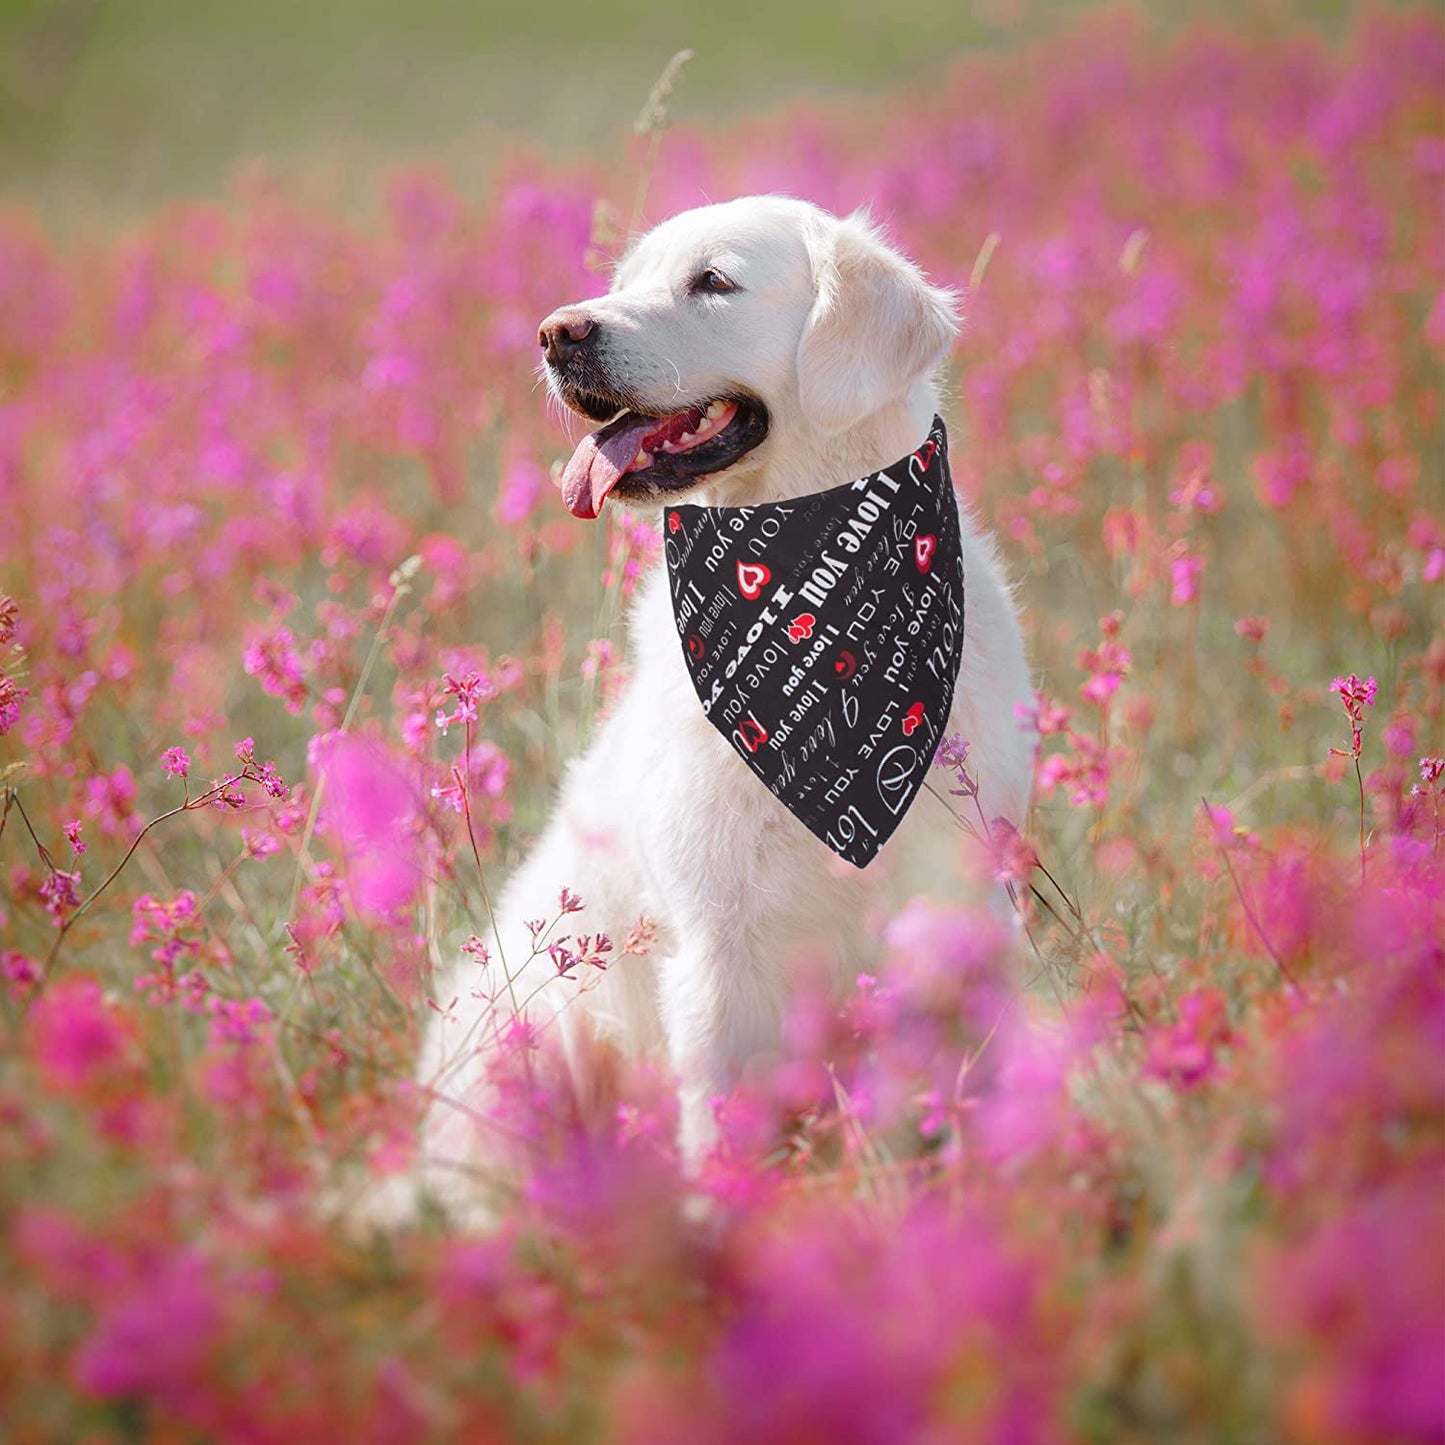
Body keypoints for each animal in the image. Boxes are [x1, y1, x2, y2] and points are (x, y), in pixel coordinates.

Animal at [413, 189, 1034, 1208]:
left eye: (712, 281)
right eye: (624, 281)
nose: (556, 333)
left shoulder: (959, 905)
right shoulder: (717, 946)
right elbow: (719, 1124)